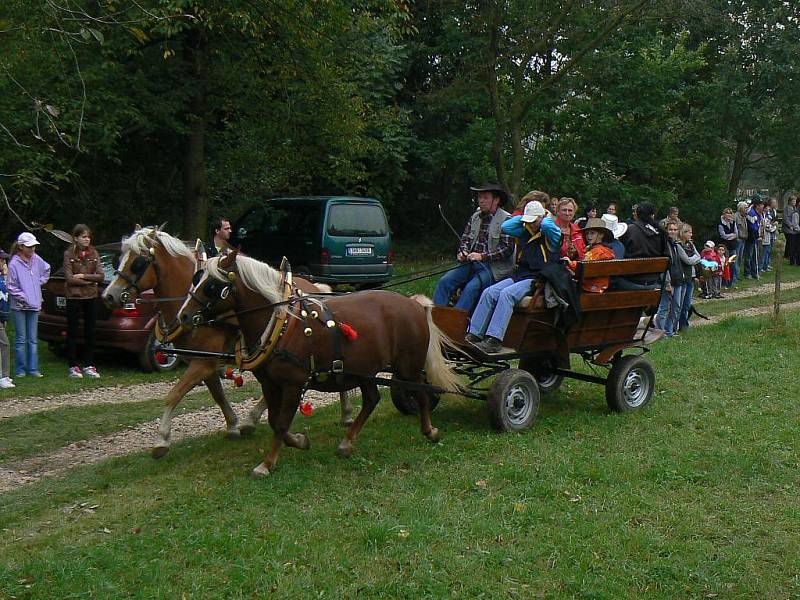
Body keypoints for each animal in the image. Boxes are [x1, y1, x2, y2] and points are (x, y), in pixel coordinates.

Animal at [101, 227, 354, 458]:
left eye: (138, 262)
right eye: (119, 258)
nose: (109, 296)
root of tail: (314, 287)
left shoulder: (202, 363)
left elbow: (174, 394)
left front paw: (162, 440)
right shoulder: (203, 362)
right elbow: (218, 395)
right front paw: (232, 425)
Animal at [177, 248, 460, 478]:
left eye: (211, 286)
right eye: (196, 278)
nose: (184, 316)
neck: (283, 324)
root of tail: (413, 303)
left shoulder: (293, 383)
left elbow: (281, 422)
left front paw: (267, 464)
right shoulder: (270, 383)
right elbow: (274, 421)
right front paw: (299, 441)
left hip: (408, 366)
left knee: (421, 394)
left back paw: (429, 431)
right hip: (366, 370)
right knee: (372, 399)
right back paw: (347, 443)